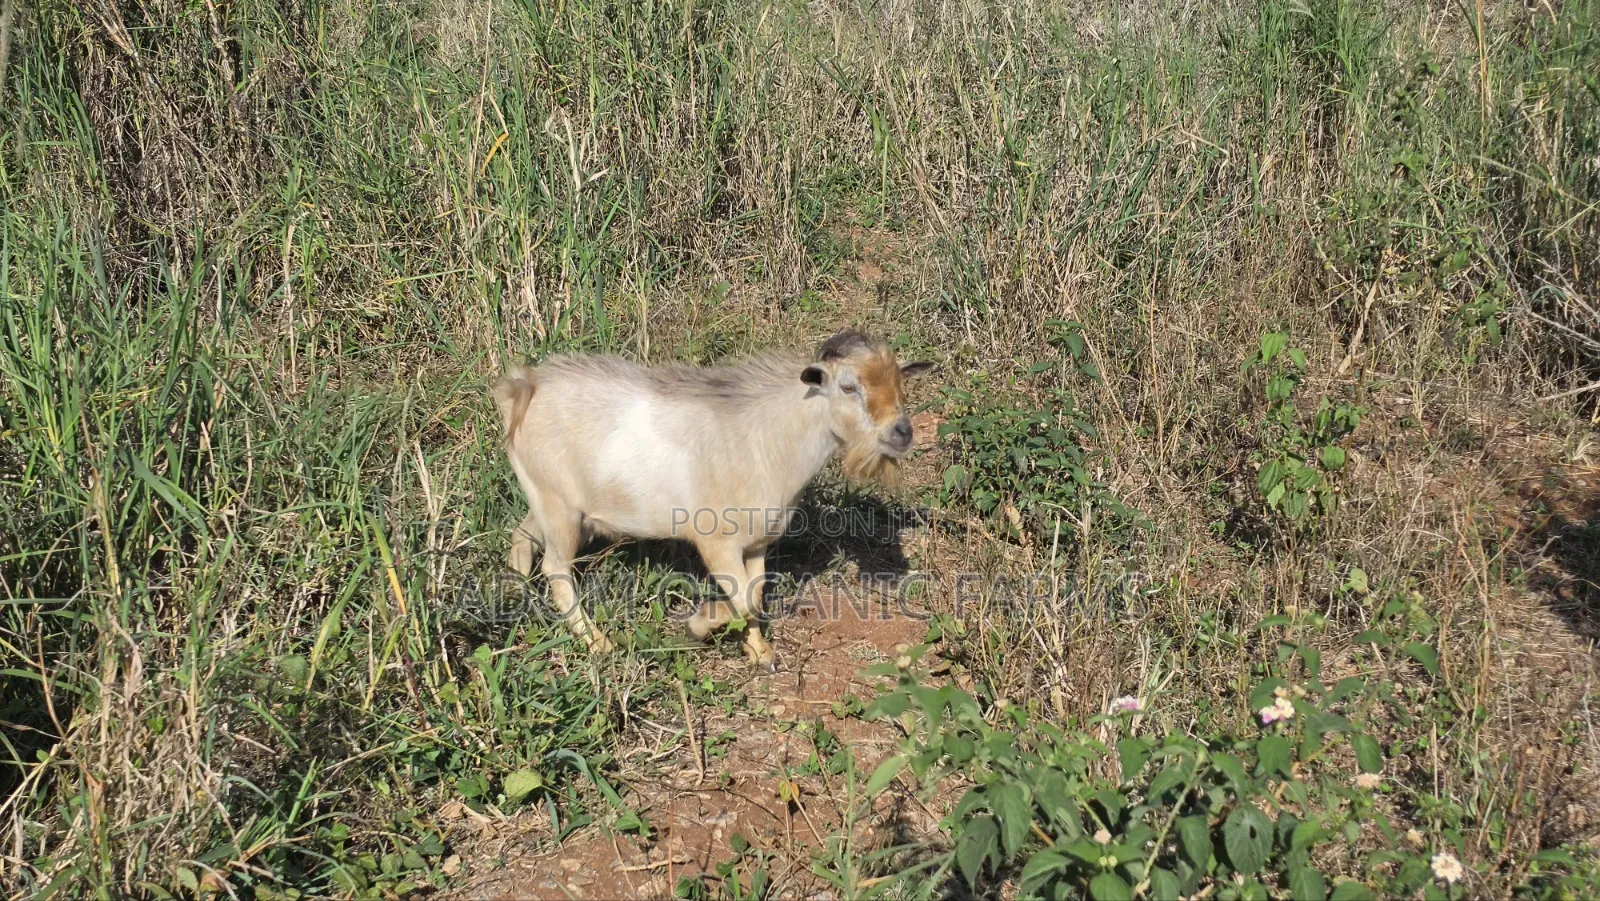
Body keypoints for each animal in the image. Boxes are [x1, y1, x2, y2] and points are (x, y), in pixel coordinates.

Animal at [491, 330, 934, 670]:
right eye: (848, 386)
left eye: (899, 382)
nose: (902, 432)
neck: (767, 439)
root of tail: (525, 388)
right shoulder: (716, 541)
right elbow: (743, 600)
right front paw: (698, 626)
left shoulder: (757, 542)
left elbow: (755, 594)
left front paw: (760, 653)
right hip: (560, 507)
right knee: (556, 568)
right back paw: (596, 641)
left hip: (546, 499)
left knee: (521, 538)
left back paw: (513, 597)